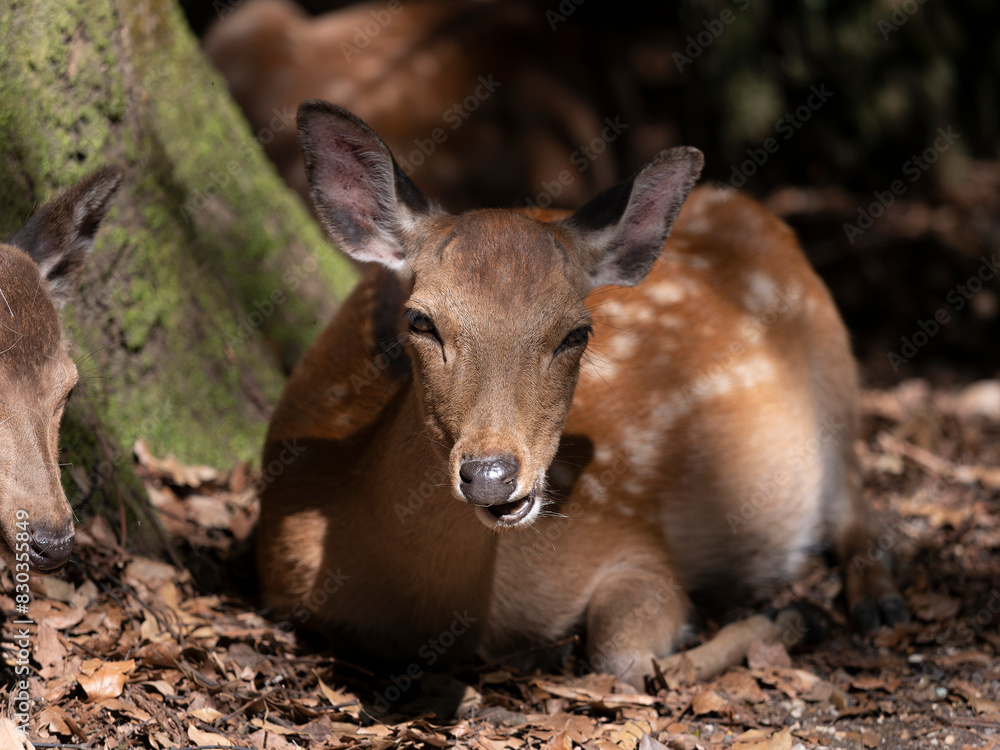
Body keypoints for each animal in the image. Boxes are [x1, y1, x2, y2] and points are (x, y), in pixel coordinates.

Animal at [256, 101, 906, 691]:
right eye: (420, 321)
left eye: (577, 332)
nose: (490, 474)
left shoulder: (631, 540)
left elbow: (623, 657)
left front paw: (785, 618)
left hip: (835, 363)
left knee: (855, 497)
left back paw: (874, 605)